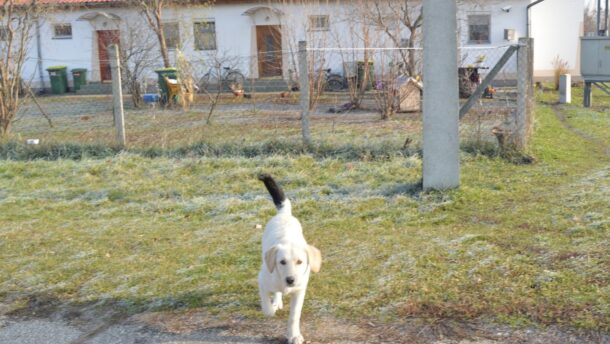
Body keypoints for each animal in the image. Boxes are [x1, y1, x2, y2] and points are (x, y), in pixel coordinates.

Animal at [256, 175, 320, 344]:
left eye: (300, 262)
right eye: (282, 262)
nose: (290, 280)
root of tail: (283, 214)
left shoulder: (299, 291)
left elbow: (294, 316)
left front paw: (293, 335)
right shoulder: (262, 280)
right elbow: (266, 303)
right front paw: (270, 309)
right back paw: (276, 301)